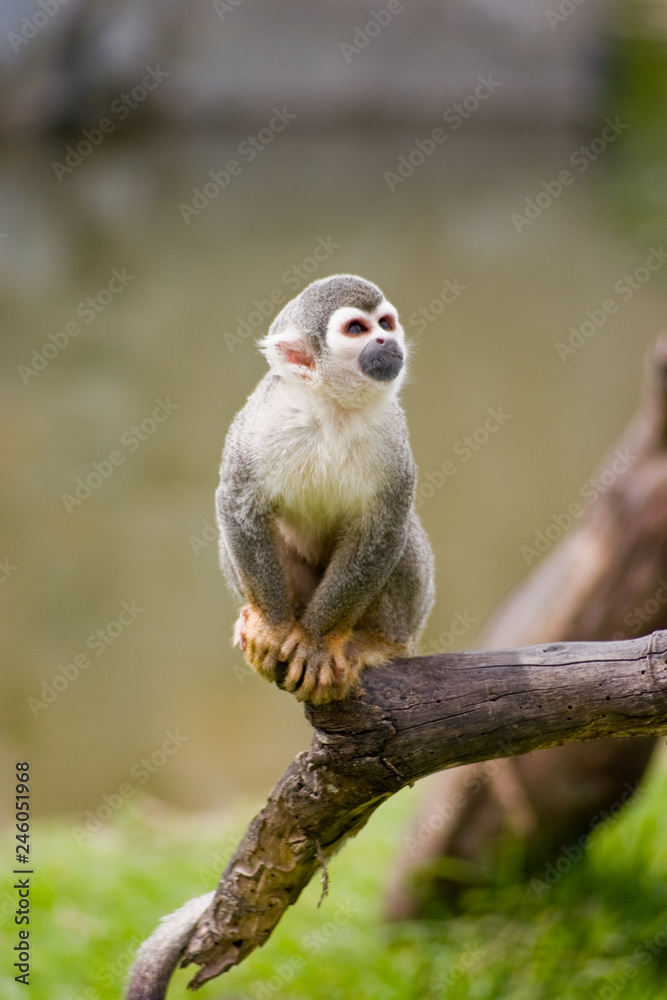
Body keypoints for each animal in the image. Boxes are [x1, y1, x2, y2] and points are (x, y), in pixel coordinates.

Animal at [217, 273, 435, 703]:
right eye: (357, 329)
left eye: (385, 323)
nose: (386, 340)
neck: (333, 407)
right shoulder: (263, 417)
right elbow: (238, 504)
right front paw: (271, 626)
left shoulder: (393, 431)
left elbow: (383, 530)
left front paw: (318, 644)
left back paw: (379, 642)